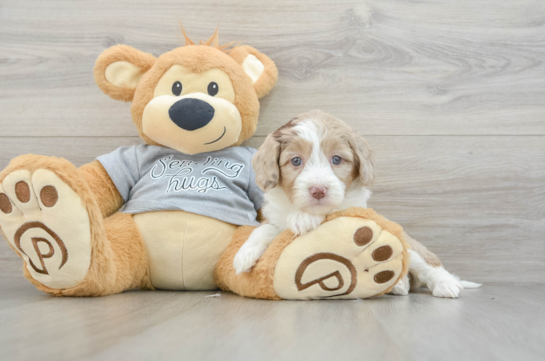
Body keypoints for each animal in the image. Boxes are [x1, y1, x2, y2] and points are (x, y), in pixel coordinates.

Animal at [232, 110, 478, 298]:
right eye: (295, 161)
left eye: (337, 159)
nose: (318, 190)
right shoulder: (275, 218)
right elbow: (264, 229)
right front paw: (244, 255)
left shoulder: (350, 208)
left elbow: (330, 211)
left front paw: (305, 218)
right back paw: (399, 285)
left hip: (410, 247)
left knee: (427, 263)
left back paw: (445, 284)